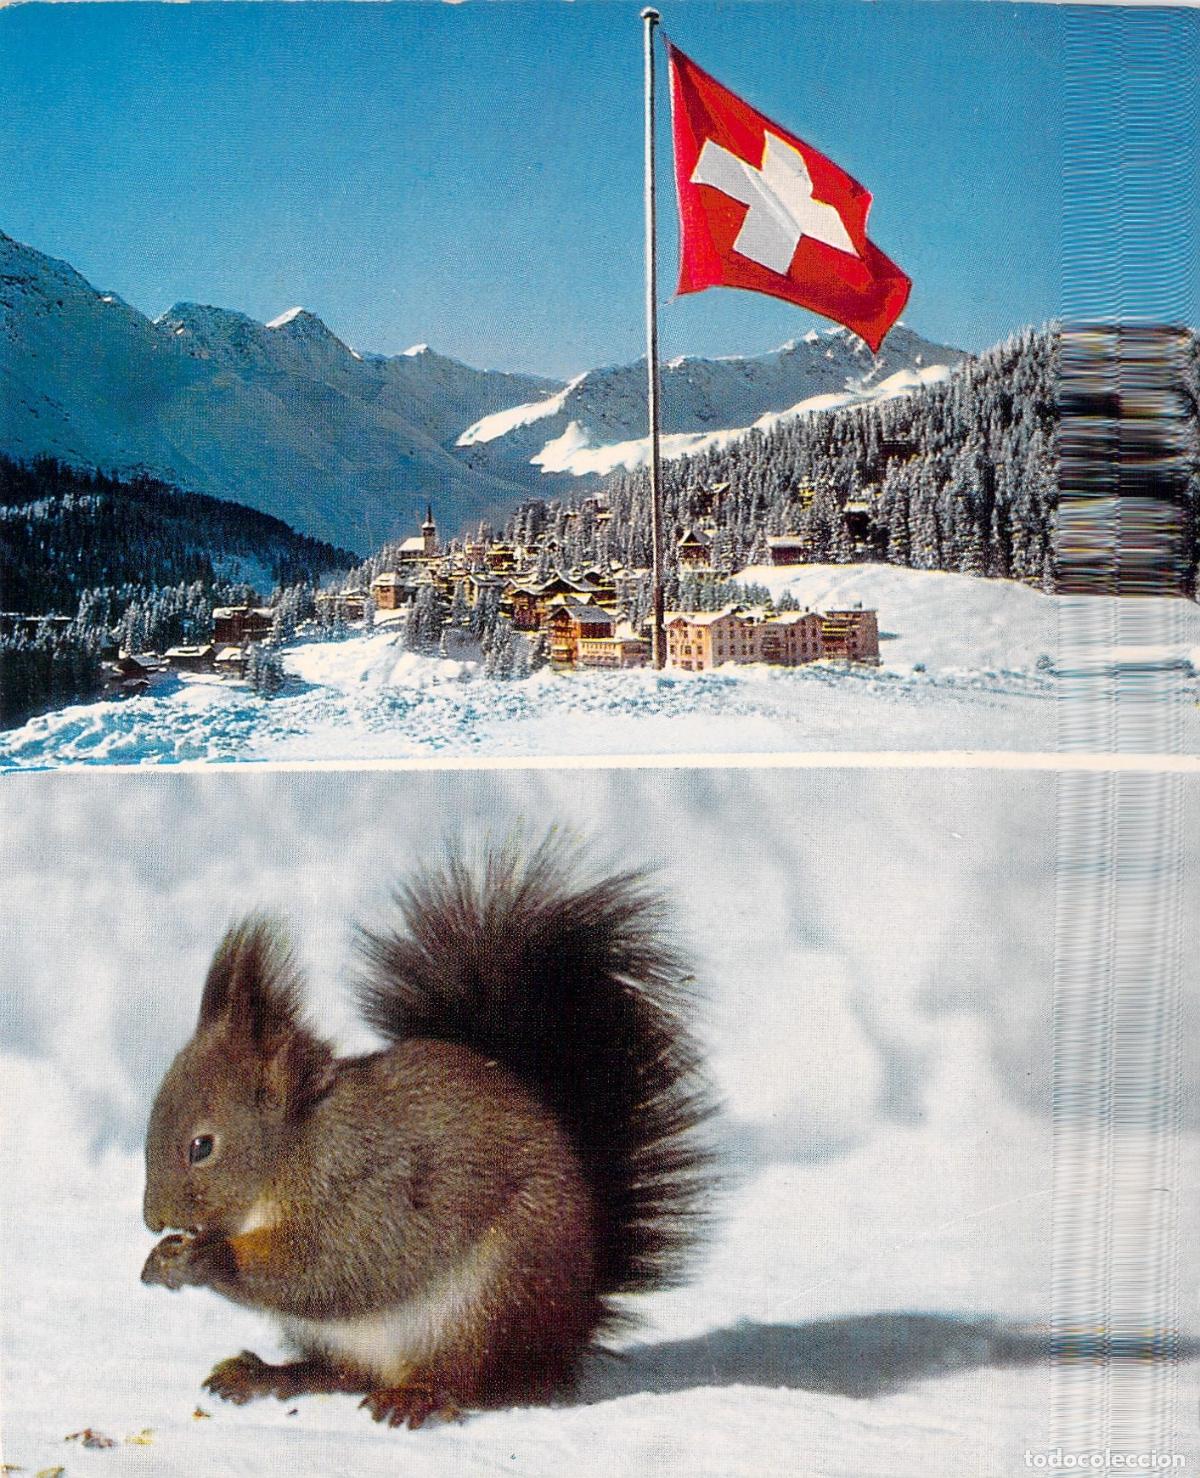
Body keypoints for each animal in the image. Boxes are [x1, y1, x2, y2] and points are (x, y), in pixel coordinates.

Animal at [140, 841, 717, 1429]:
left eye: (201, 1147)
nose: (152, 1219)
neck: (293, 1152)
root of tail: (564, 1339)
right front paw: (163, 1258)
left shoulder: (369, 1190)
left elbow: (328, 1266)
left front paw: (206, 1258)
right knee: (342, 1373)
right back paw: (267, 1374)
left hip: (486, 1306)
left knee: (467, 1380)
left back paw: (417, 1395)